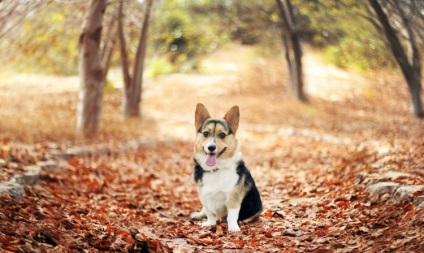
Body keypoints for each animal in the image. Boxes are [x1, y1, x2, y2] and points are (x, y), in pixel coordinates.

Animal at [190, 103, 262, 231]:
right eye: (206, 133)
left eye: (222, 135)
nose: (211, 147)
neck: (215, 169)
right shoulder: (203, 196)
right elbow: (209, 212)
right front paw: (210, 223)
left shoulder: (233, 198)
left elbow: (232, 215)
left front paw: (233, 228)